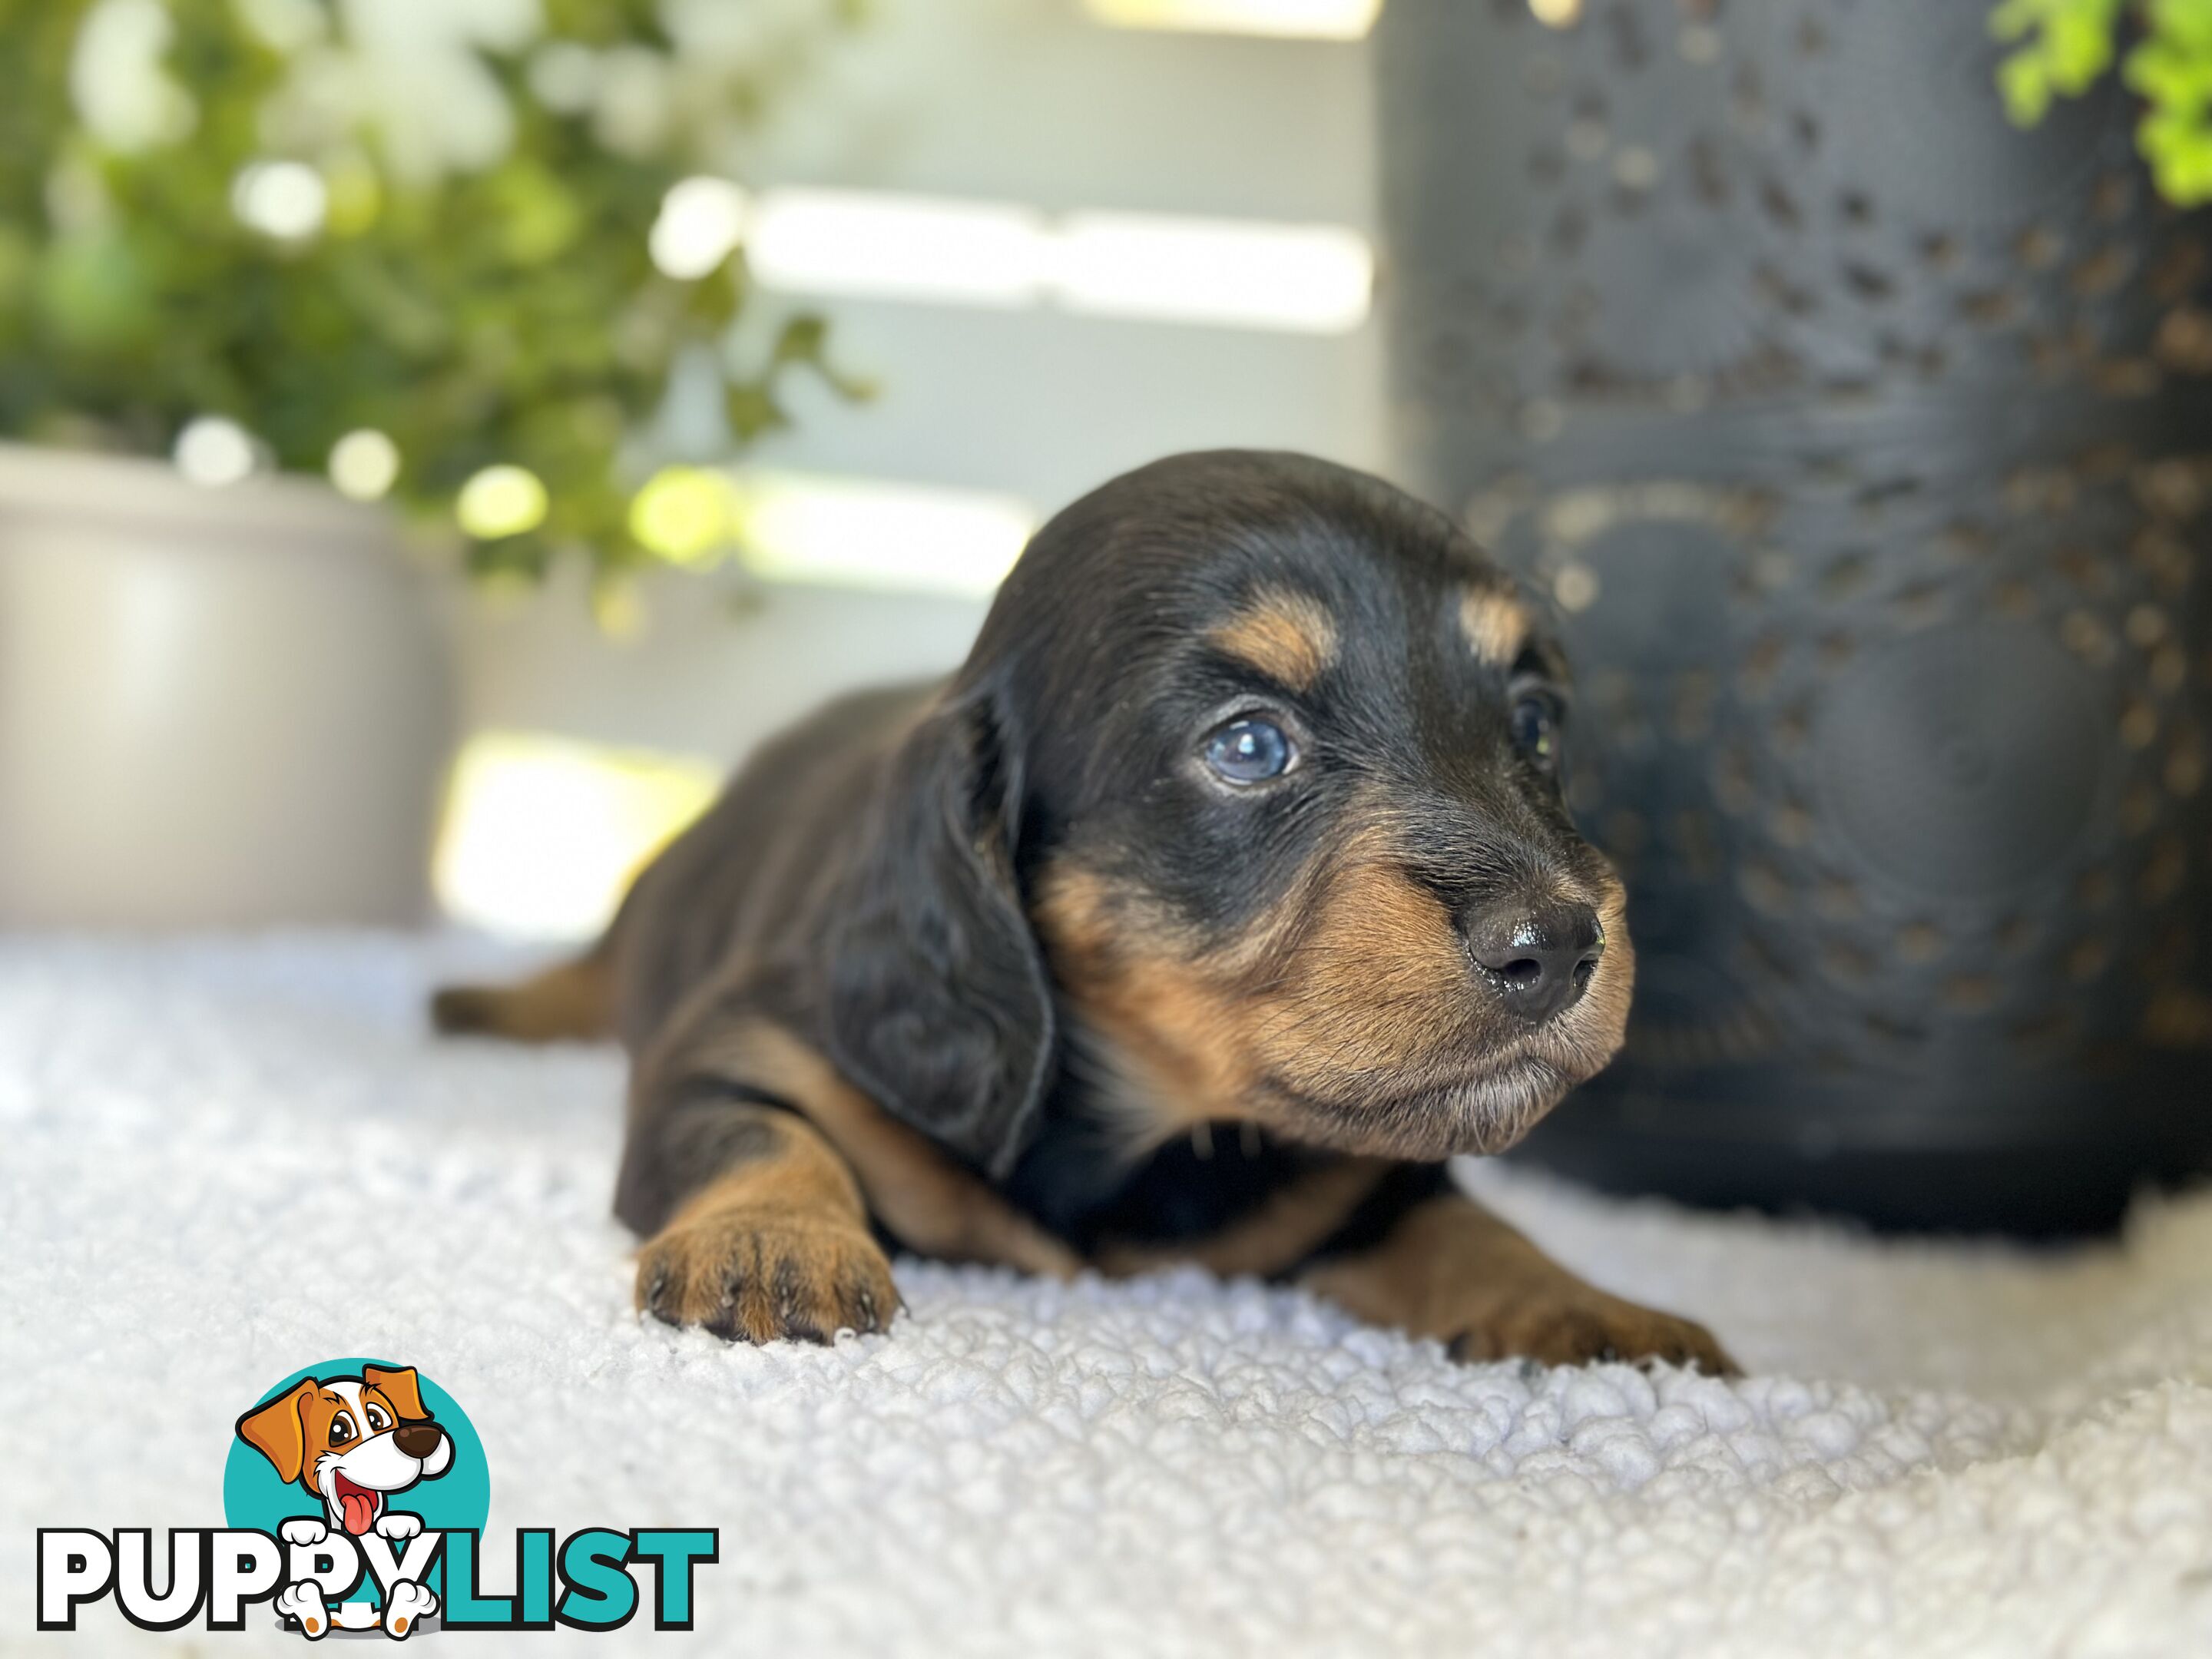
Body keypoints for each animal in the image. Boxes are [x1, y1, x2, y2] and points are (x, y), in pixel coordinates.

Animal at [440, 449, 1734, 1371]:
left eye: (1535, 725)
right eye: (1249, 745)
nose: (1561, 944)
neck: (1148, 1130)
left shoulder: (1368, 1185)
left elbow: (1466, 1225)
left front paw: (1584, 1306)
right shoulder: (732, 1047)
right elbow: (756, 1130)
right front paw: (772, 1240)